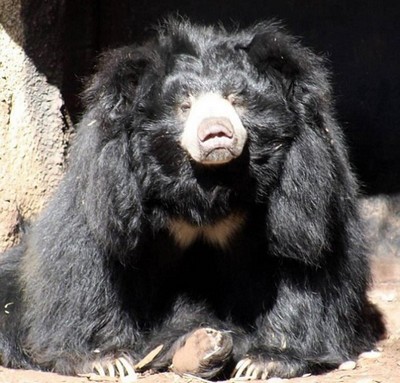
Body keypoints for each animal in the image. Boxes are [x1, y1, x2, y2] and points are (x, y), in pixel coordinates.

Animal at [0, 17, 384, 380]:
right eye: (184, 106)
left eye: (236, 100)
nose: (216, 132)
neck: (206, 184)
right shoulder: (109, 181)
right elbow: (92, 253)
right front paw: (104, 360)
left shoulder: (306, 179)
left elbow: (302, 258)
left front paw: (267, 361)